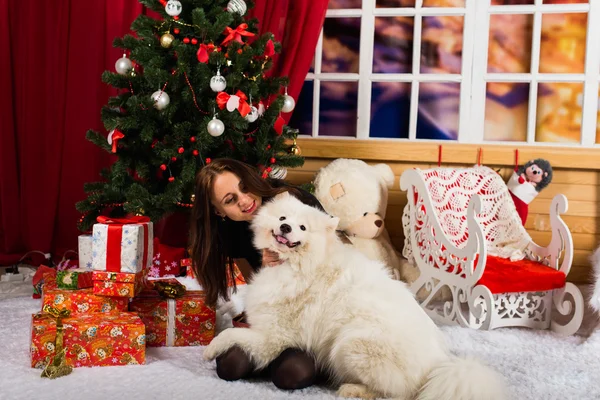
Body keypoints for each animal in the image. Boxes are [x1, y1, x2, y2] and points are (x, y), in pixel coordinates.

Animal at [203, 193, 506, 400]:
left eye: (303, 228)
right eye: (282, 219)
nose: (286, 228)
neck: (299, 265)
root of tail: (438, 367)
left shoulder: (273, 337)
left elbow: (231, 334)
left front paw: (210, 349)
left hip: (350, 343)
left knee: (398, 394)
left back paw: (352, 389)